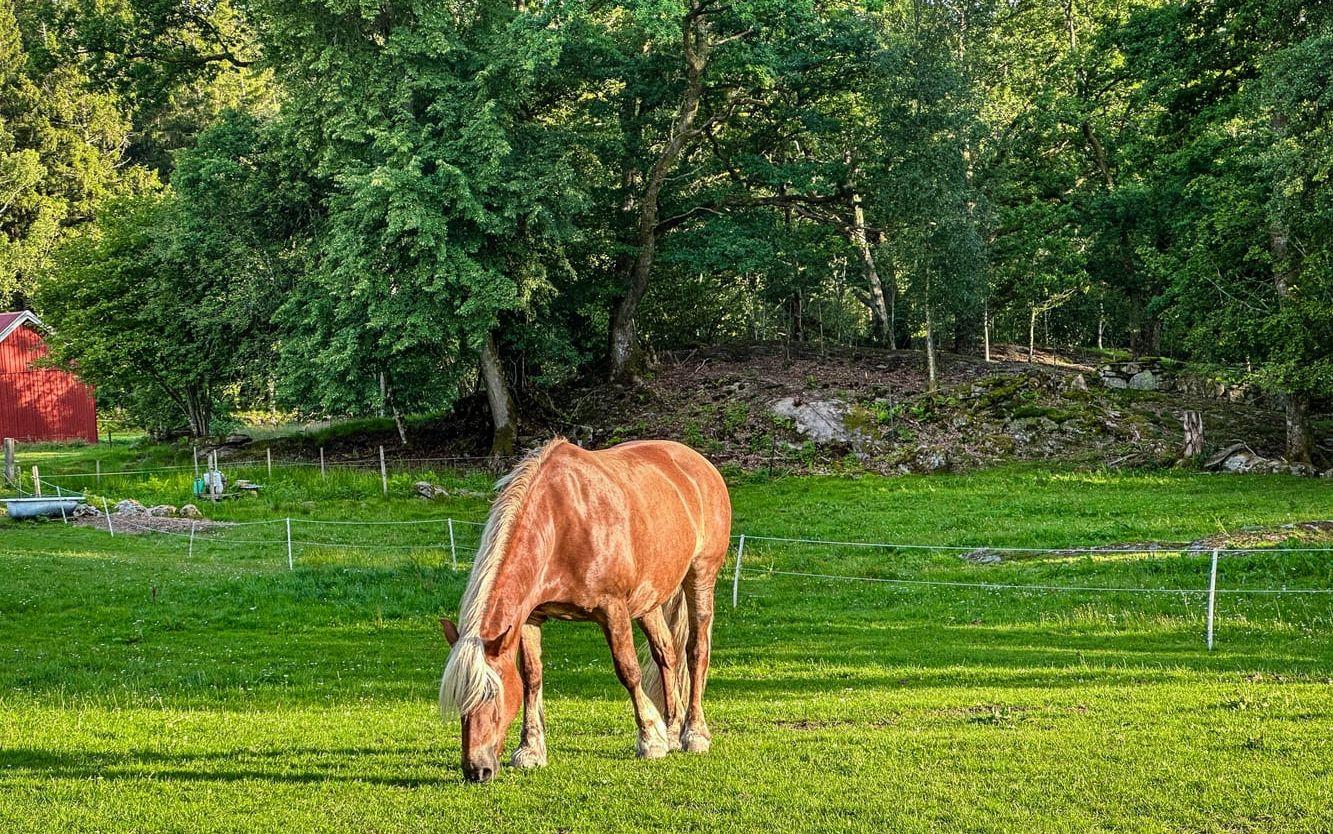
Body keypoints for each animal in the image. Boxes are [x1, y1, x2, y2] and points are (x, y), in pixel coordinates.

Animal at [437, 434, 730, 778]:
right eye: (458, 700)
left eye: (491, 695)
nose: (476, 770)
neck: (559, 523)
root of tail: (699, 464)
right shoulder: (530, 617)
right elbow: (531, 678)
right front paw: (530, 749)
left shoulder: (612, 609)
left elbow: (628, 670)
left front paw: (649, 739)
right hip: (649, 601)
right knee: (666, 654)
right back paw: (671, 730)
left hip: (700, 577)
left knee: (696, 652)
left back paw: (693, 733)